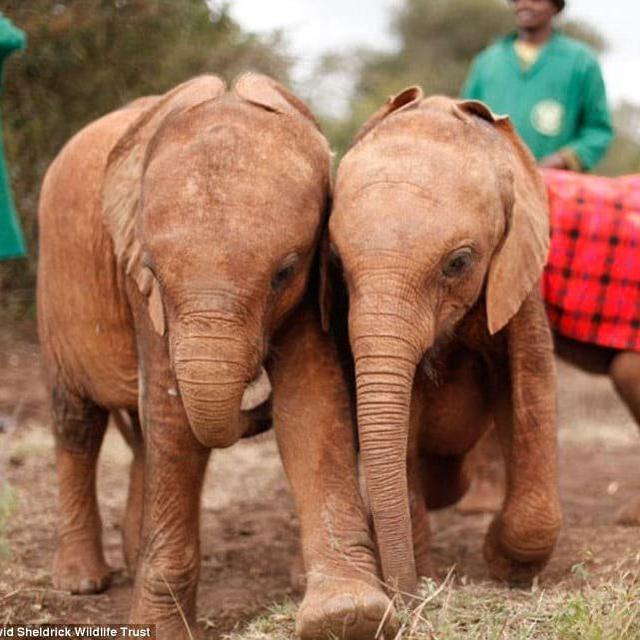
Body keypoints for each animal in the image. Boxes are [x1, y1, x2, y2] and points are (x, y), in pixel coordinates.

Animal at [36, 73, 344, 638]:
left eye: (285, 273)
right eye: (154, 272)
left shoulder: (316, 279)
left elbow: (310, 395)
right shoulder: (140, 285)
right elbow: (172, 416)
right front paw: (159, 628)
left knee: (139, 432)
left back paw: (132, 558)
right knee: (78, 422)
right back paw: (81, 582)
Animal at [318, 87, 563, 599]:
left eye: (459, 263)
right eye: (337, 263)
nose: (405, 596)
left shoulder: (517, 285)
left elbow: (530, 395)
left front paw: (505, 567)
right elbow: (400, 431)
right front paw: (426, 579)